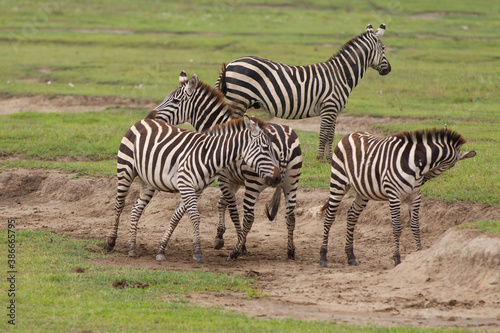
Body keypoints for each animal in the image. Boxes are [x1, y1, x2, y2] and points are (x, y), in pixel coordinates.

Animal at [104, 114, 282, 262]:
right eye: (265, 148)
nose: (277, 178)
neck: (209, 156)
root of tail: (143, 121)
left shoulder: (195, 189)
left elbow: (175, 218)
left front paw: (161, 249)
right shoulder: (186, 184)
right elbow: (195, 217)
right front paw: (198, 252)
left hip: (147, 181)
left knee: (136, 209)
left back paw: (132, 246)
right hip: (125, 169)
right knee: (119, 204)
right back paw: (111, 241)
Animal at [148, 71, 302, 260]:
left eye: (175, 101)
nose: (150, 117)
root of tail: (285, 143)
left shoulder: (223, 178)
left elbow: (232, 211)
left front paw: (240, 244)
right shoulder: (233, 180)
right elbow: (222, 203)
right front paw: (221, 236)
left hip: (254, 182)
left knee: (249, 216)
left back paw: (234, 252)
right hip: (291, 181)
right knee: (290, 215)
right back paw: (291, 251)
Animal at [217, 23, 392, 161]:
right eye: (383, 48)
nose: (389, 70)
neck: (341, 74)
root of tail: (230, 64)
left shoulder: (334, 110)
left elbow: (331, 135)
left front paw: (329, 158)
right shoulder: (329, 106)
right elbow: (323, 133)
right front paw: (319, 158)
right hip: (239, 99)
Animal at [320, 127, 476, 268]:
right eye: (450, 166)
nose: (423, 180)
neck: (415, 165)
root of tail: (350, 134)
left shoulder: (415, 197)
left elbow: (415, 225)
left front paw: (418, 253)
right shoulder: (394, 195)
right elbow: (397, 227)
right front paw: (397, 259)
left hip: (363, 190)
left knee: (352, 215)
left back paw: (351, 256)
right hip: (338, 180)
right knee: (329, 217)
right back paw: (323, 257)